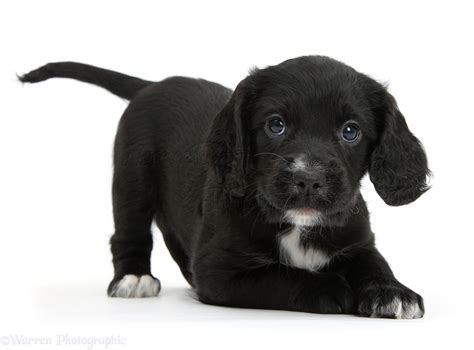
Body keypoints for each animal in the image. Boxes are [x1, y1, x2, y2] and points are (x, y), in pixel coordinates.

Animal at [20, 56, 430, 318]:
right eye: (275, 125)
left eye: (350, 131)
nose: (308, 179)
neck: (298, 226)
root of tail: (152, 85)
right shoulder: (219, 272)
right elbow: (281, 277)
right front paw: (329, 287)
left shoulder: (358, 242)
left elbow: (375, 262)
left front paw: (392, 292)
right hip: (131, 180)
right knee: (129, 234)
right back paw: (133, 278)